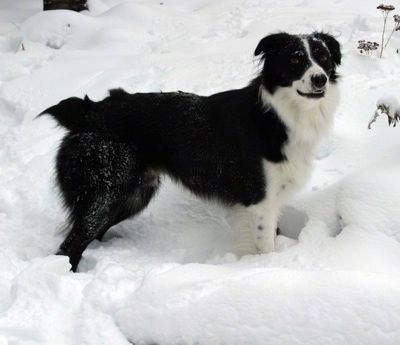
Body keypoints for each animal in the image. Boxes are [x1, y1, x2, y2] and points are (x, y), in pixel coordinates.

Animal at [39, 32, 340, 270]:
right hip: (106, 193)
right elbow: (266, 245)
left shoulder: (269, 199)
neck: (277, 115)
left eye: (324, 57)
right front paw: (266, 269)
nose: (320, 80)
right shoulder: (260, 199)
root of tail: (89, 112)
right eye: (295, 60)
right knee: (70, 246)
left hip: (134, 194)